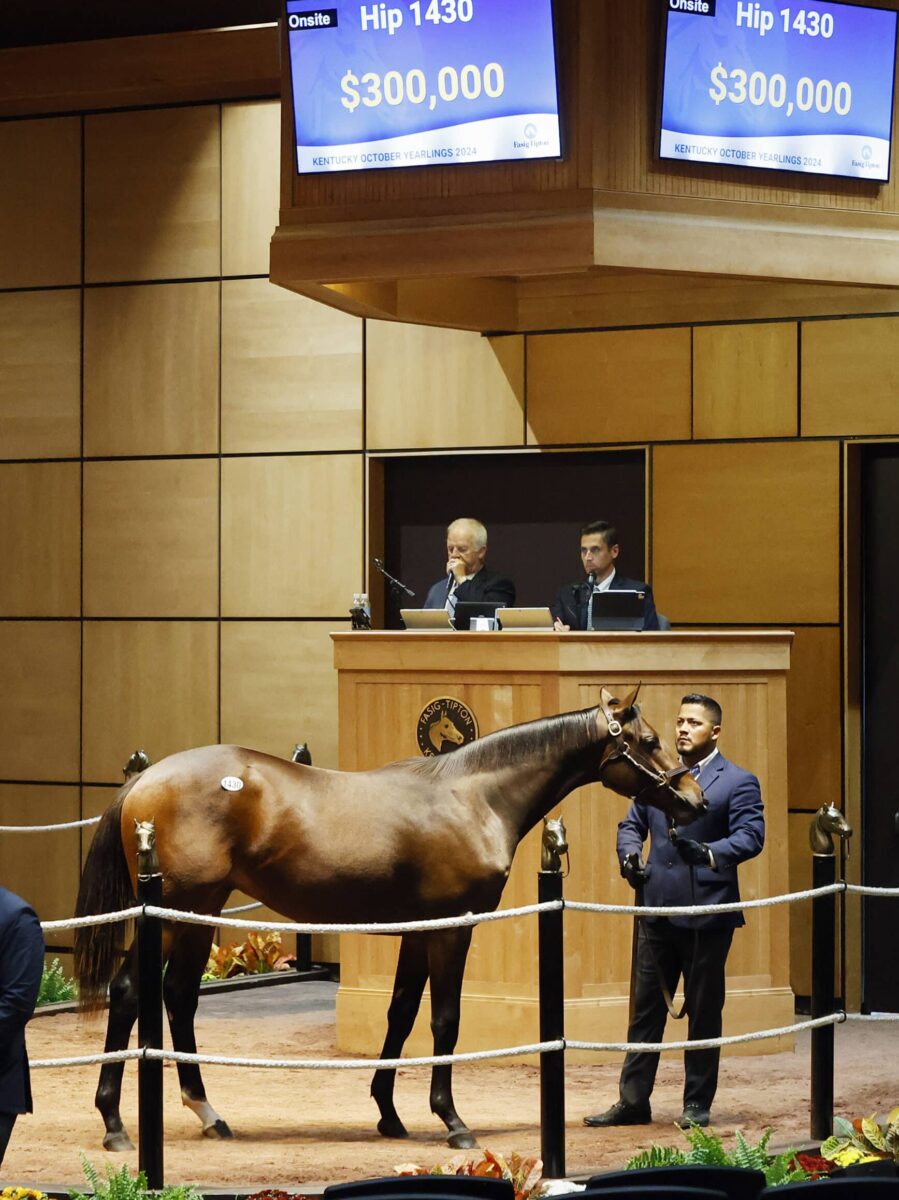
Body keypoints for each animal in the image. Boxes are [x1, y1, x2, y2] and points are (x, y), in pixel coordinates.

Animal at [73, 691, 705, 1147]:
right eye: (650, 740)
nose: (695, 799)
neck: (473, 798)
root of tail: (144, 780)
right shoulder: (452, 929)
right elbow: (445, 1022)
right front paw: (452, 1121)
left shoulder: (416, 934)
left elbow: (400, 1015)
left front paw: (389, 1114)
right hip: (176, 914)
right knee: (131, 992)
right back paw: (115, 1124)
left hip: (195, 913)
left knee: (177, 996)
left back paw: (208, 1113)